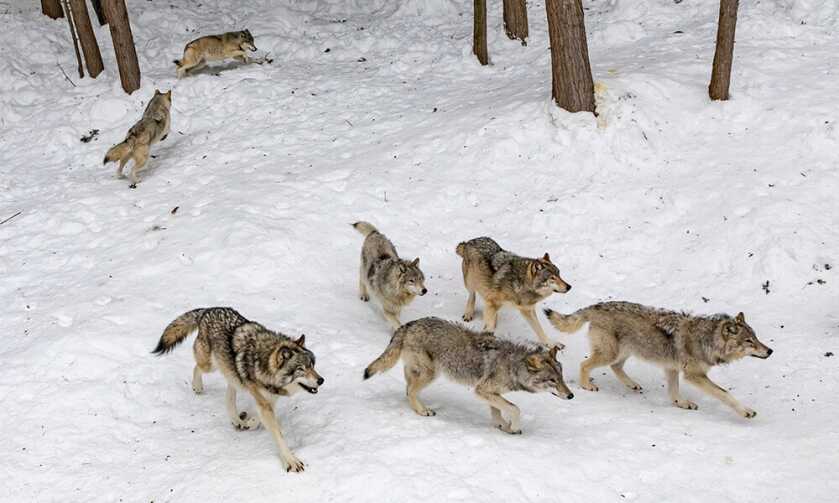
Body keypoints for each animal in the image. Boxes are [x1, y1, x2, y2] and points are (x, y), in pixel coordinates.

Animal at [152, 307, 324, 472]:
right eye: (301, 369)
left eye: (312, 366)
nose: (321, 380)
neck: (263, 364)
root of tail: (208, 310)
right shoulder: (264, 401)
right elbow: (278, 434)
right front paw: (291, 461)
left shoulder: (268, 399)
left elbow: (259, 418)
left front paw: (250, 423)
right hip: (210, 366)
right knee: (197, 368)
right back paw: (197, 387)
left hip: (231, 374)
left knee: (229, 394)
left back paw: (237, 420)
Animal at [363, 317, 574, 434]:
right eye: (552, 380)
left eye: (562, 378)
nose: (571, 395)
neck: (513, 365)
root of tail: (408, 324)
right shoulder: (481, 390)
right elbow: (515, 409)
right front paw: (513, 427)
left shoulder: (490, 392)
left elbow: (498, 410)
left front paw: (502, 426)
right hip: (431, 374)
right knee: (410, 391)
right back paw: (423, 411)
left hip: (421, 372)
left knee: (408, 389)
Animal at [544, 302, 773, 418]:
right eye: (749, 341)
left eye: (756, 338)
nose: (770, 351)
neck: (707, 340)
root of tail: (596, 305)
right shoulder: (694, 376)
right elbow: (725, 394)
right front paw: (746, 411)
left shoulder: (672, 369)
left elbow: (673, 393)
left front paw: (682, 404)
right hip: (610, 353)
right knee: (585, 365)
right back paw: (587, 386)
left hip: (624, 352)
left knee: (615, 367)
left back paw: (632, 384)